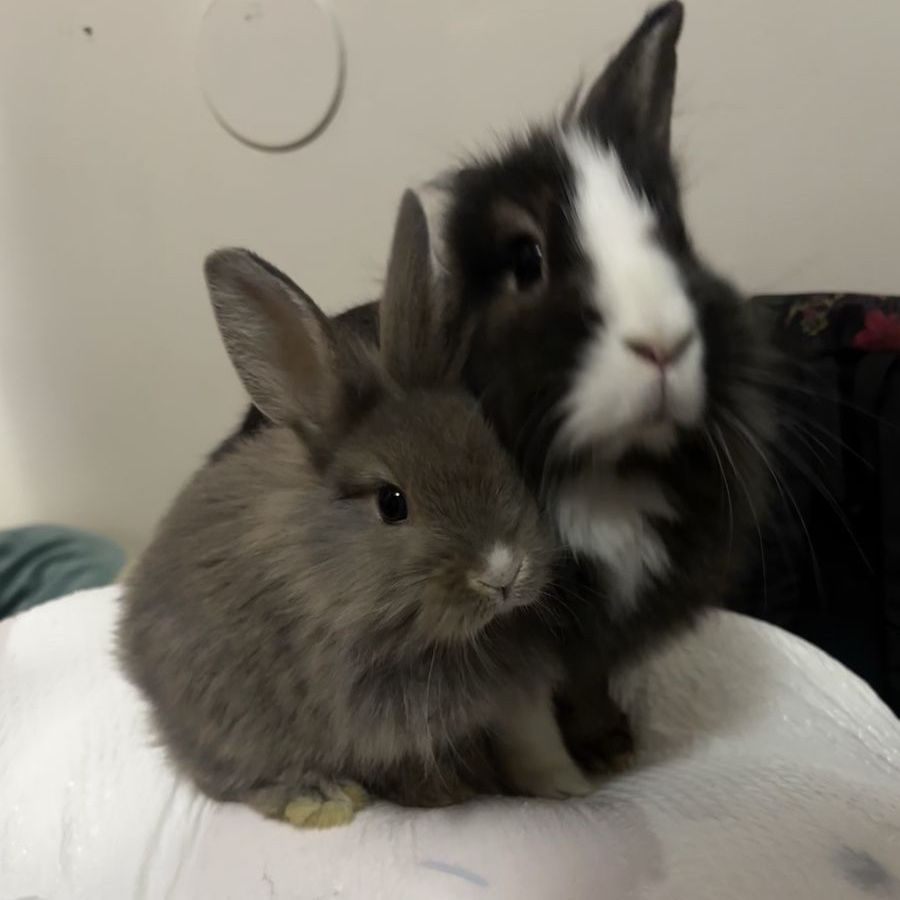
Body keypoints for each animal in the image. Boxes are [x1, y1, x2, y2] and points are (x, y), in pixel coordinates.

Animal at [118, 190, 593, 831]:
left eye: (496, 448)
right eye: (392, 504)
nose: (503, 572)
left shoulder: (518, 691)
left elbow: (534, 738)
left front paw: (570, 788)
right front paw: (445, 794)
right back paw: (317, 797)